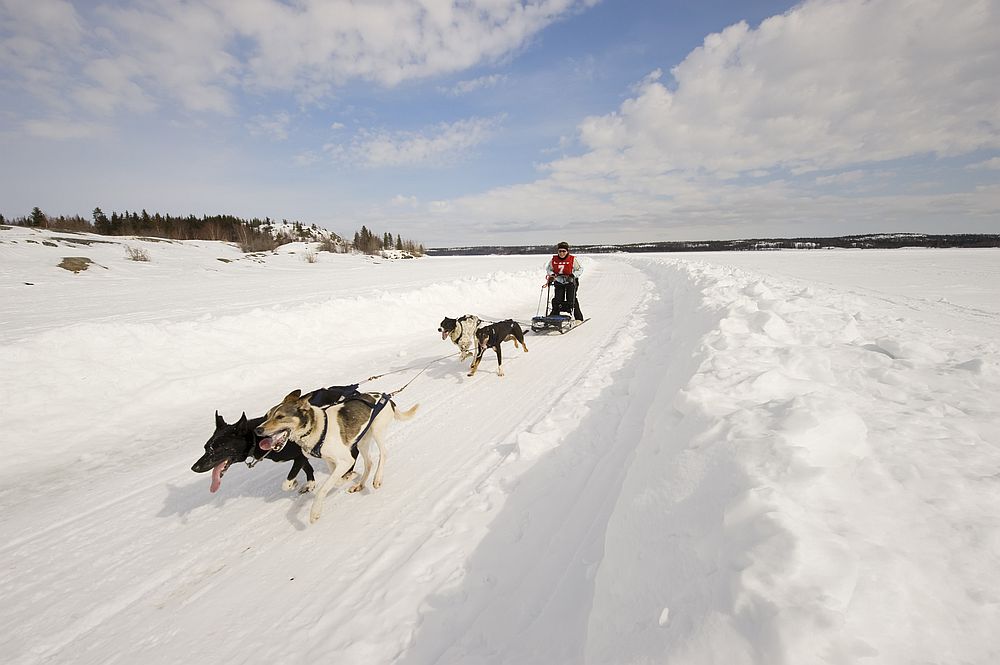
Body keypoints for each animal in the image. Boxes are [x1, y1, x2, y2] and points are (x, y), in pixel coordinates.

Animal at [258, 386, 418, 520]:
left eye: (280, 417)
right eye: (267, 416)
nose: (258, 429)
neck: (315, 427)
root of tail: (387, 398)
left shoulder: (346, 460)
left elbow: (324, 488)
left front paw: (314, 512)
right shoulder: (330, 460)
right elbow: (336, 479)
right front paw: (348, 477)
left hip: (377, 431)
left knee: (384, 453)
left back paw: (377, 479)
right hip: (362, 441)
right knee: (369, 462)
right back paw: (359, 485)